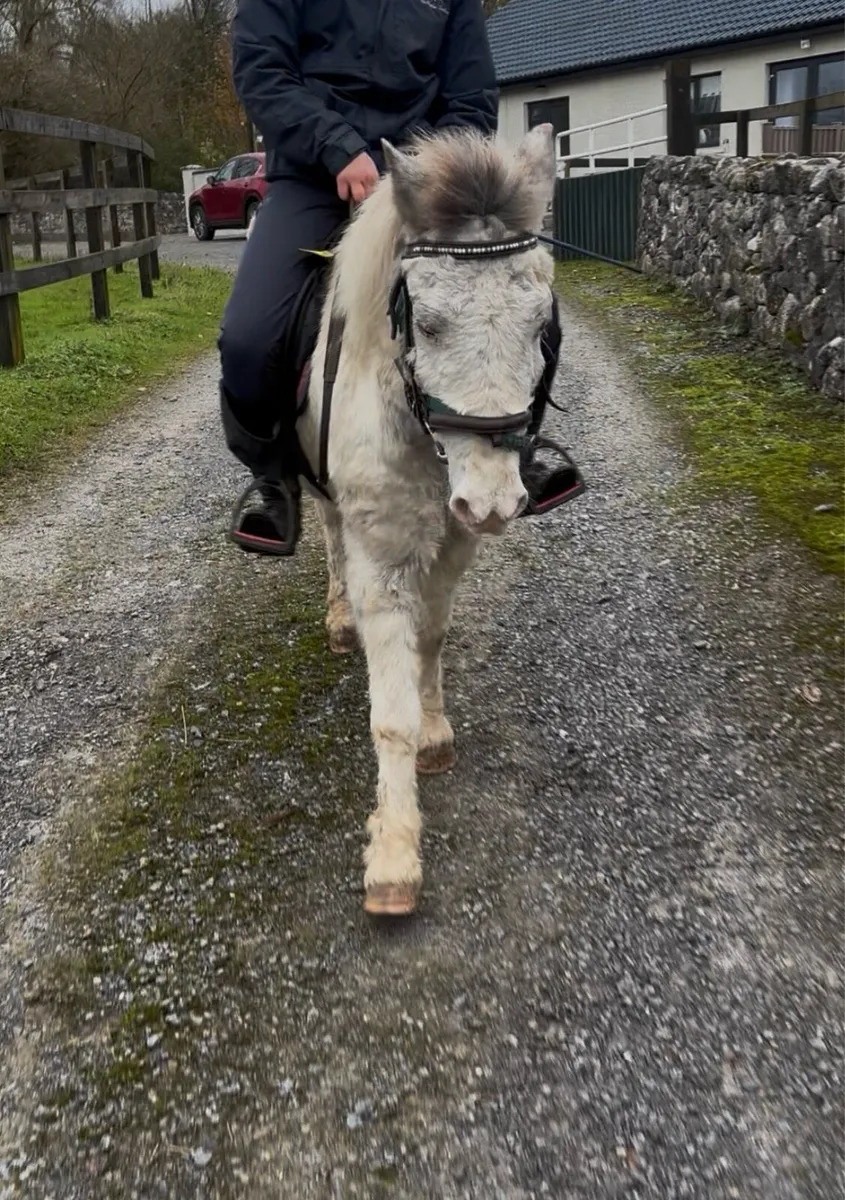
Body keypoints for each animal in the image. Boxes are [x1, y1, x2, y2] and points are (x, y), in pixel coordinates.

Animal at [296, 124, 558, 916]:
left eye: (540, 325)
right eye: (431, 324)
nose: (494, 501)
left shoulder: (453, 545)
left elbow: (431, 640)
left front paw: (438, 734)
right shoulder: (380, 564)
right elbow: (391, 715)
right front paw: (392, 856)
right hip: (324, 501)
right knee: (328, 541)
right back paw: (337, 620)